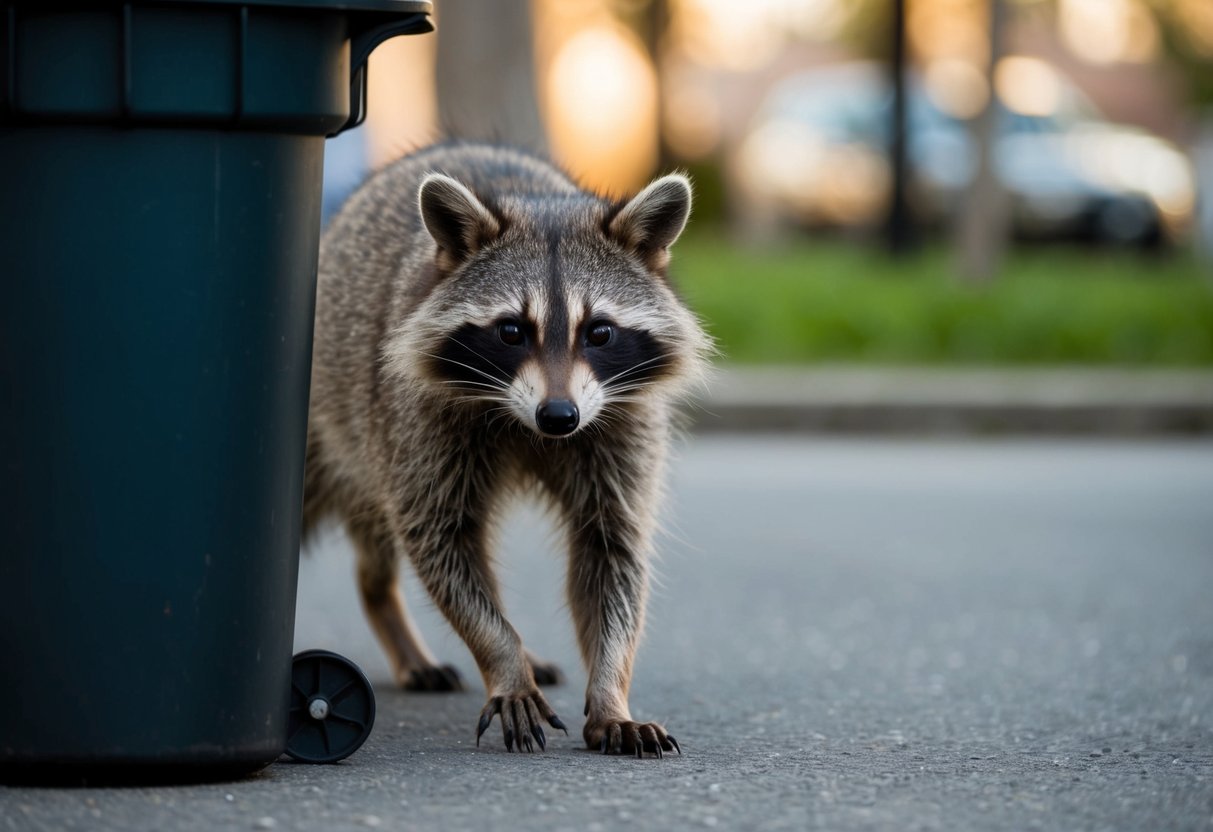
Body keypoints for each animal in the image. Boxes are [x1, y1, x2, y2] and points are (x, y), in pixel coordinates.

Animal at [304, 141, 711, 757]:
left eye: (600, 332)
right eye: (512, 331)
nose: (560, 416)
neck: (529, 427)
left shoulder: (619, 423)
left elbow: (611, 550)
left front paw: (611, 692)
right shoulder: (418, 420)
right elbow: (440, 537)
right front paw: (502, 656)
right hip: (338, 424)